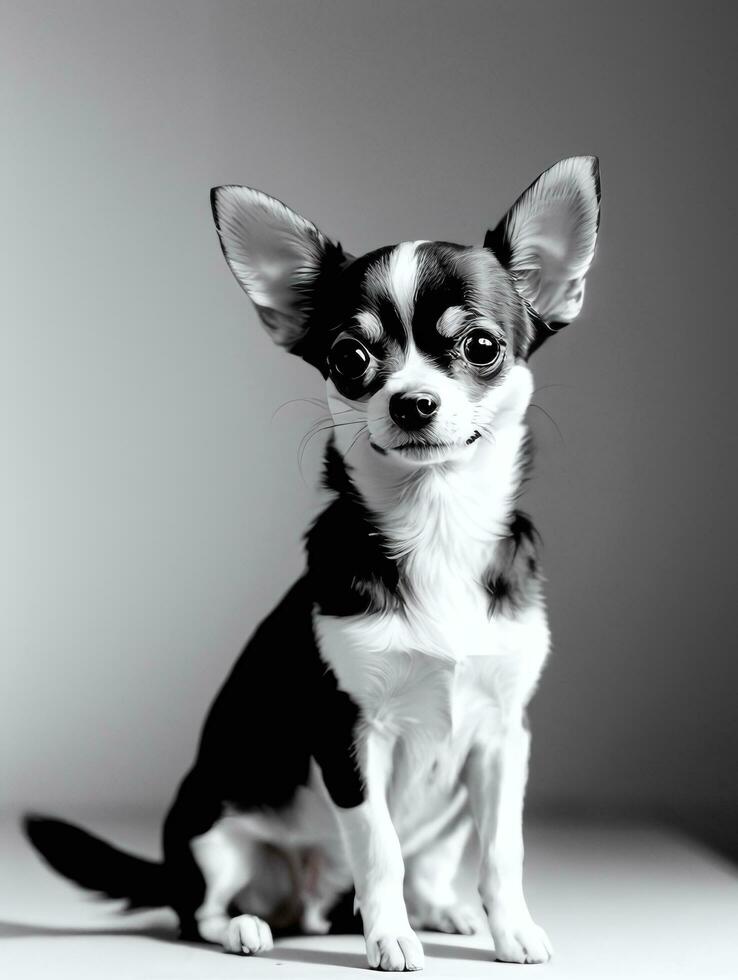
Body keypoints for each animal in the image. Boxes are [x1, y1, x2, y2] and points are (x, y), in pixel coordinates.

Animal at [28, 157, 600, 968]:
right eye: (349, 358)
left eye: (482, 348)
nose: (412, 401)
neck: (437, 525)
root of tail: (309, 906)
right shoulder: (349, 737)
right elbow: (379, 848)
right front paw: (390, 940)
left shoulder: (500, 740)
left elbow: (501, 850)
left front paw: (511, 928)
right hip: (209, 832)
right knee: (195, 908)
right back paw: (248, 927)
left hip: (452, 804)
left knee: (433, 862)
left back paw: (443, 910)